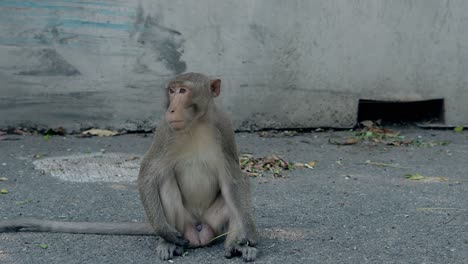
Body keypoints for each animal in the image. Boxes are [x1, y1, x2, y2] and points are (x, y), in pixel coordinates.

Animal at [0, 72, 258, 262]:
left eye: (183, 91)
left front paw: (248, 237)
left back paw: (237, 245)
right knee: (163, 179)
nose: (171, 108)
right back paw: (169, 242)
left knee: (232, 197)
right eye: (172, 91)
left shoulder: (224, 128)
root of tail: (199, 231)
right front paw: (165, 233)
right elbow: (148, 174)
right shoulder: (164, 130)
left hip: (213, 222)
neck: (195, 124)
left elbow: (235, 181)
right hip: (184, 224)